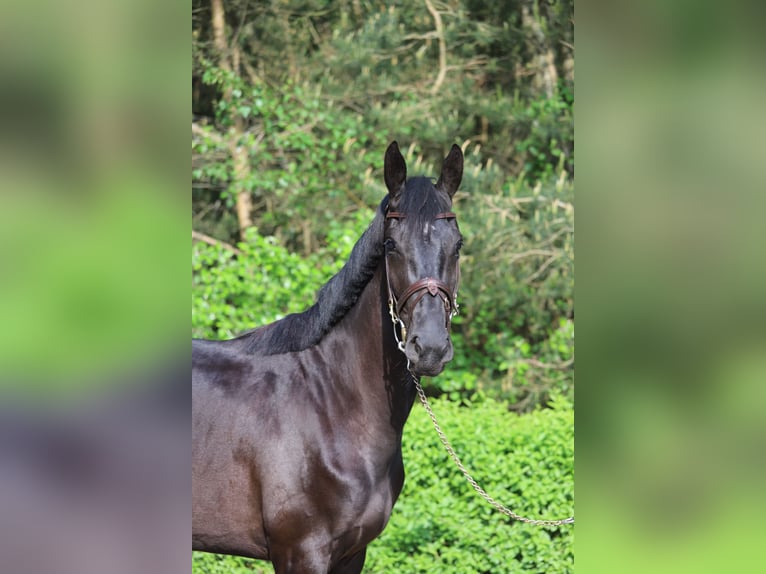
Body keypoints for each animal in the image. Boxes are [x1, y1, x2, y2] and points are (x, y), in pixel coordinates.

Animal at [195, 141, 464, 574]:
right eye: (391, 245)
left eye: (458, 245)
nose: (430, 347)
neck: (331, 403)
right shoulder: (301, 553)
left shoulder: (352, 553)